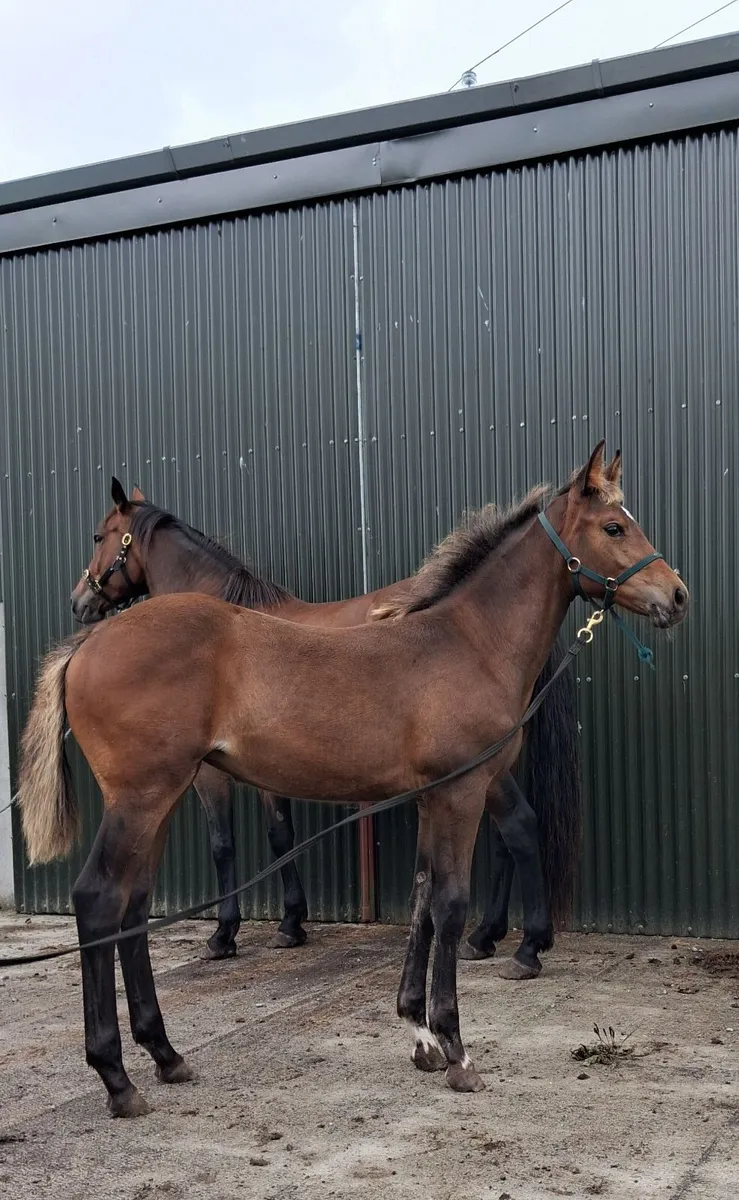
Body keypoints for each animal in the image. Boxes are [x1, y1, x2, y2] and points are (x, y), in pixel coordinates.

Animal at [69, 481, 582, 978]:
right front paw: (292, 922)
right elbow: (281, 835)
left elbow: (226, 844)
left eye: (97, 536)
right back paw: (488, 935)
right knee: (507, 840)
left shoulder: (213, 775)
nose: (80, 602)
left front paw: (227, 934)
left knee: (515, 831)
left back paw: (516, 944)